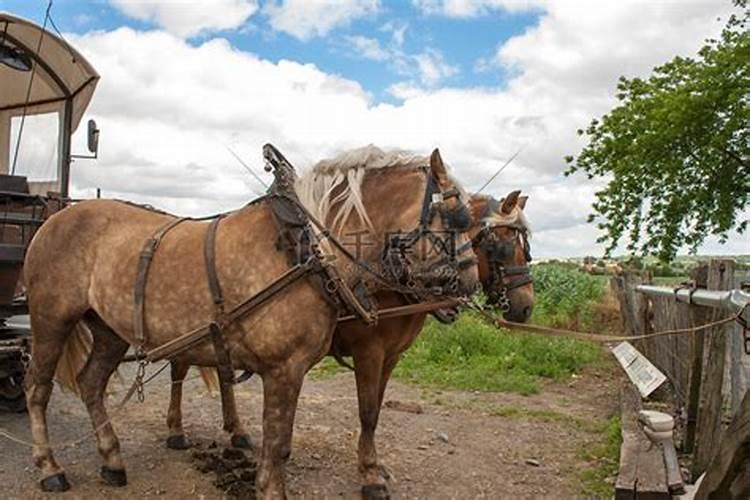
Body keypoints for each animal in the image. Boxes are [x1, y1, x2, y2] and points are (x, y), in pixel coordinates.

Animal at [27, 146, 482, 498]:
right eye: (456, 215)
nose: (472, 281)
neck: (307, 252)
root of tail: (53, 219)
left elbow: (287, 438)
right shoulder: (287, 368)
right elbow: (280, 441)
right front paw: (276, 487)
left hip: (108, 330)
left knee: (91, 383)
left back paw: (112, 459)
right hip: (50, 320)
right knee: (38, 391)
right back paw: (50, 468)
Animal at [170, 189, 536, 498]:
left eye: (525, 246)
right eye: (502, 243)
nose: (525, 307)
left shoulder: (391, 356)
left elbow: (377, 406)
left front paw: (374, 465)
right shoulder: (369, 352)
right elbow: (368, 411)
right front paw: (370, 475)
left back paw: (237, 431)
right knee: (179, 369)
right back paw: (176, 431)